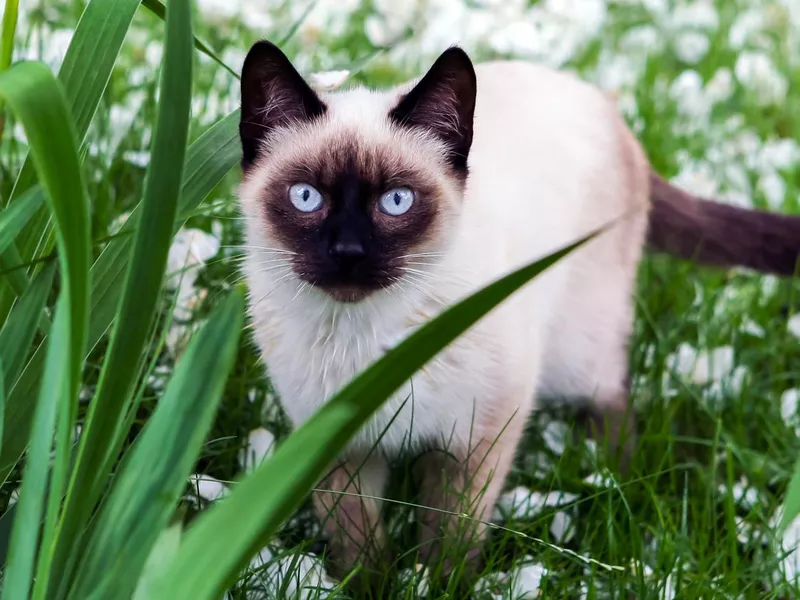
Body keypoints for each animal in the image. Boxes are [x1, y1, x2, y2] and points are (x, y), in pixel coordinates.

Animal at [236, 41, 800, 584]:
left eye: (397, 201)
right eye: (306, 197)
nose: (348, 253)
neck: (368, 340)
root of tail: (606, 107)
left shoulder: (477, 434)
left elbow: (450, 537)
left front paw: (434, 587)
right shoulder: (336, 445)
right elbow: (359, 545)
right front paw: (370, 588)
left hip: (575, 352)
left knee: (612, 394)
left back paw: (613, 479)